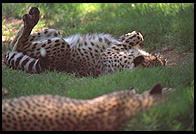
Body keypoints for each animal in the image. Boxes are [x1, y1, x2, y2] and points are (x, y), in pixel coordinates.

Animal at [4, 7, 166, 76]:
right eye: (156, 60)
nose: (162, 59)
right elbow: (131, 38)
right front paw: (129, 35)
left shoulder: (108, 53)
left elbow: (134, 38)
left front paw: (132, 35)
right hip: (54, 32)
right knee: (15, 42)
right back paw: (31, 16)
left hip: (61, 44)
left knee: (19, 45)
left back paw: (31, 18)